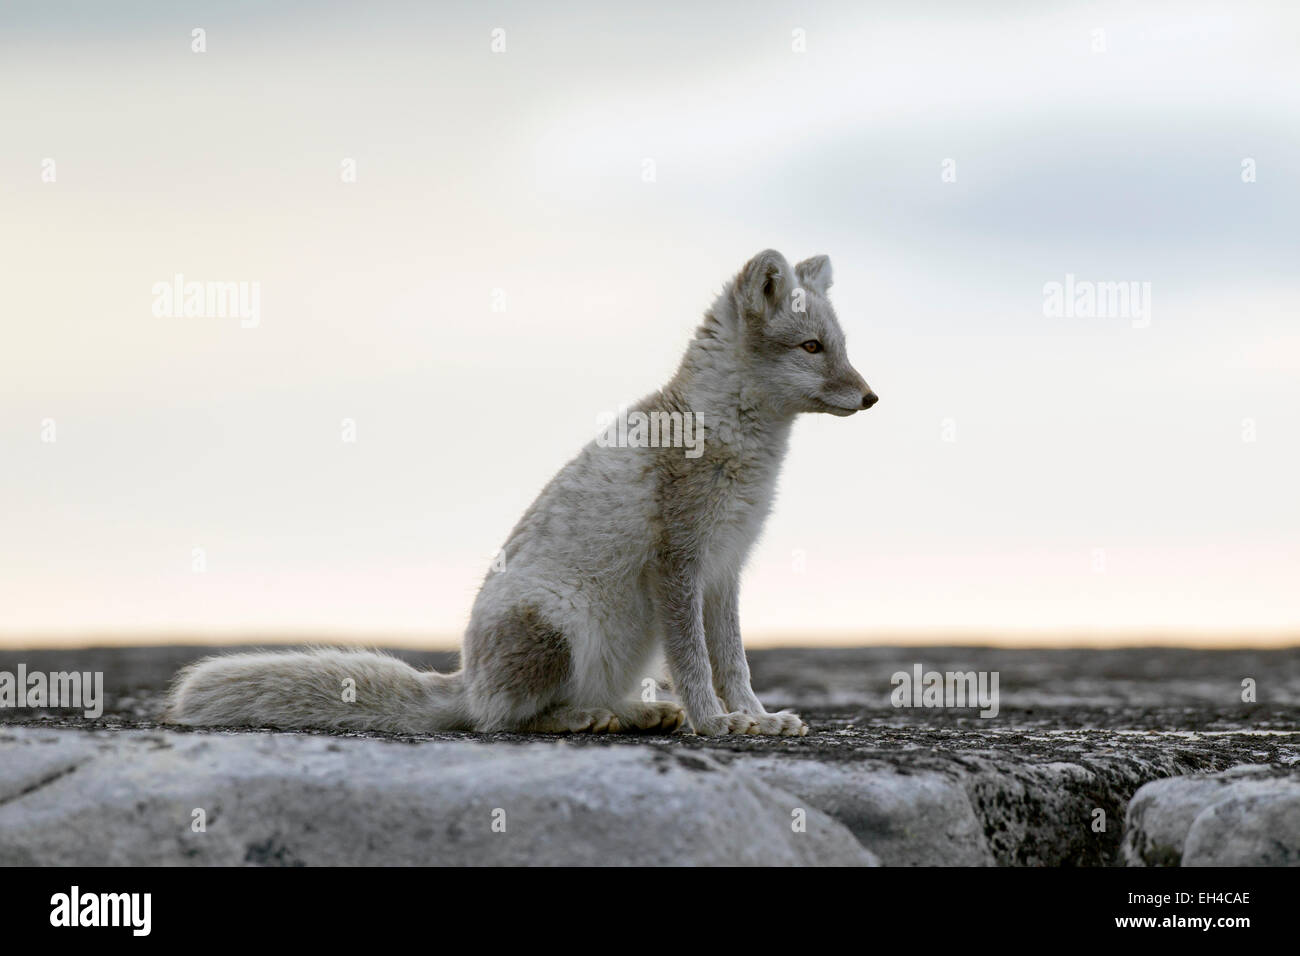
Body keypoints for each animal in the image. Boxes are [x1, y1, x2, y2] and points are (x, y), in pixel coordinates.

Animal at [162, 251, 873, 738]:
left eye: (841, 347)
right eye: (812, 347)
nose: (872, 397)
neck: (730, 437)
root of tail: (464, 680)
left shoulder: (725, 569)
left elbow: (734, 662)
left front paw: (755, 717)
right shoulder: (679, 562)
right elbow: (697, 663)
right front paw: (715, 722)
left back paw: (634, 711)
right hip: (557, 624)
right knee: (503, 721)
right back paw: (582, 719)